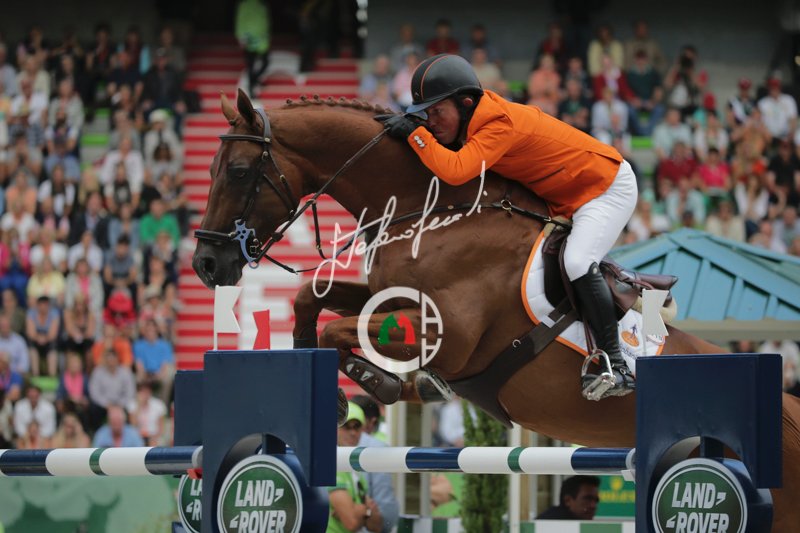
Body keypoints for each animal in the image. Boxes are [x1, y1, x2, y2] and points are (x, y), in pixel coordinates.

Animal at [192, 89, 800, 531]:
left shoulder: (448, 333)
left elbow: (344, 328)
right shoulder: (392, 297)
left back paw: (610, 372)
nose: (206, 263)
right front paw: (335, 385)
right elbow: (312, 301)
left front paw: (377, 383)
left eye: (239, 171)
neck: (434, 209)